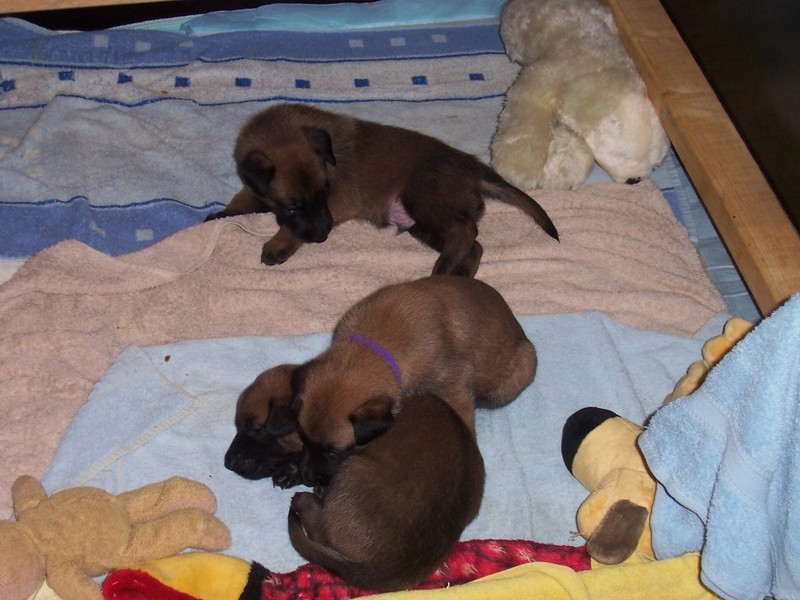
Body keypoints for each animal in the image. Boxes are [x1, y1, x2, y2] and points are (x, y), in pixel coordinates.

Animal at [205, 103, 558, 277]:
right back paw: (456, 275)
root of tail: (474, 166)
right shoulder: (257, 187)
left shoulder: (337, 202)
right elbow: (243, 198)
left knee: (466, 231)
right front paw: (220, 215)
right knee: (474, 245)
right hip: (421, 225)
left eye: (325, 193)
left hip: (424, 199)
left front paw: (278, 244)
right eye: (291, 206)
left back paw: (442, 269)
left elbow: (290, 230)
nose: (323, 236)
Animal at [264, 275, 537, 488]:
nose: (308, 478)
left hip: (522, 367)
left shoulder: (454, 384)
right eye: (301, 436)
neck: (372, 350)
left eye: (333, 451)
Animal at [288, 392, 485, 591]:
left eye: (331, 452)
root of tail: (391, 568)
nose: (305, 476)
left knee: (320, 533)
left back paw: (304, 501)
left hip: (351, 471)